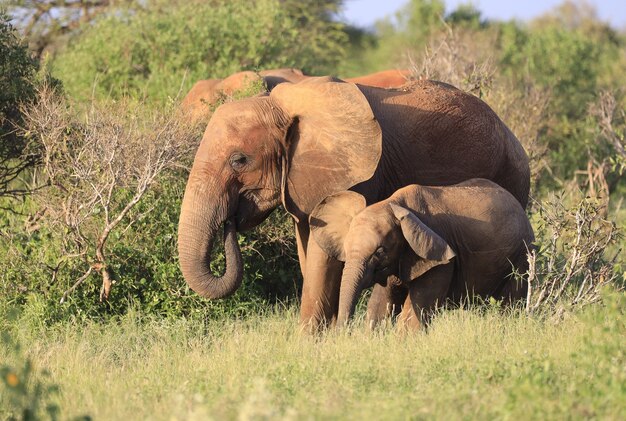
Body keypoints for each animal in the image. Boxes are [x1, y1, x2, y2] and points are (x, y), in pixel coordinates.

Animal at [308, 177, 532, 328]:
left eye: (379, 252)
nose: (340, 331)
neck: (393, 203)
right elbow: (381, 305)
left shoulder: (439, 257)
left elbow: (414, 313)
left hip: (522, 256)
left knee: (511, 304)